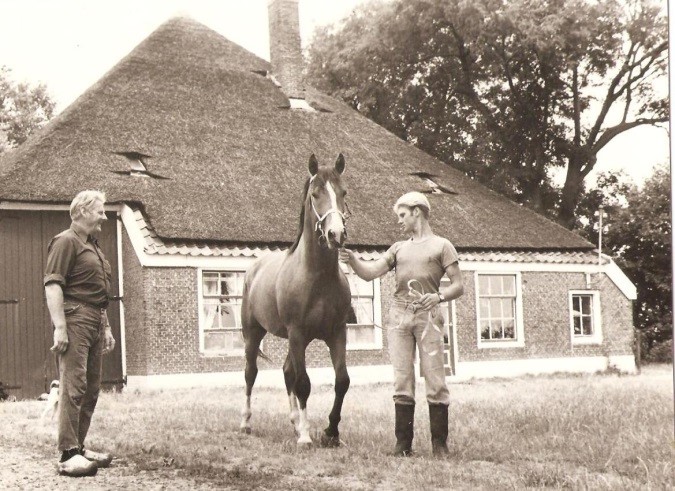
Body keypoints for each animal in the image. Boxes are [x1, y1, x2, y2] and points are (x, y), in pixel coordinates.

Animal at [239, 152, 354, 448]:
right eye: (315, 194)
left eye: (343, 192)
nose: (336, 235)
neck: (317, 276)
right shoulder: (298, 333)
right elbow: (303, 383)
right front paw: (305, 436)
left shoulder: (337, 333)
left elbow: (342, 381)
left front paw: (331, 432)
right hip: (253, 334)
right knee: (250, 373)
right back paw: (246, 423)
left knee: (286, 371)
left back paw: (293, 422)